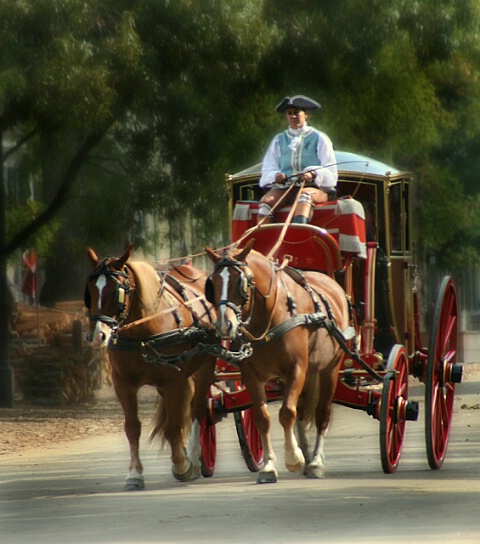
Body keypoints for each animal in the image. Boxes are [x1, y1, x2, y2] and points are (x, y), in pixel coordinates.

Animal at [85, 244, 216, 490]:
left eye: (116, 292)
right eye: (90, 291)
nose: (98, 336)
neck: (143, 334)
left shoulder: (174, 382)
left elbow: (173, 426)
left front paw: (181, 465)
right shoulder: (123, 384)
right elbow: (133, 428)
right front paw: (135, 474)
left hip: (204, 368)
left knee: (196, 409)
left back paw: (193, 459)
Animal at [204, 240, 350, 482]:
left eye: (241, 282)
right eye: (212, 284)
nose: (225, 326)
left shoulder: (296, 368)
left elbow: (286, 412)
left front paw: (293, 458)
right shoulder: (251, 375)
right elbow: (263, 418)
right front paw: (269, 466)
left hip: (330, 368)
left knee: (322, 413)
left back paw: (315, 461)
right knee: (303, 409)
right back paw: (307, 453)